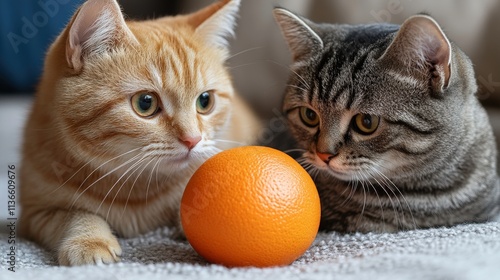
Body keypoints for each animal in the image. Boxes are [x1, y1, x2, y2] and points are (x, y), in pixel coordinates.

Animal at [19, 0, 258, 266]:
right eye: (146, 103)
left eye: (205, 101)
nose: (193, 139)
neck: (135, 189)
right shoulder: (34, 214)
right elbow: (75, 215)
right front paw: (89, 240)